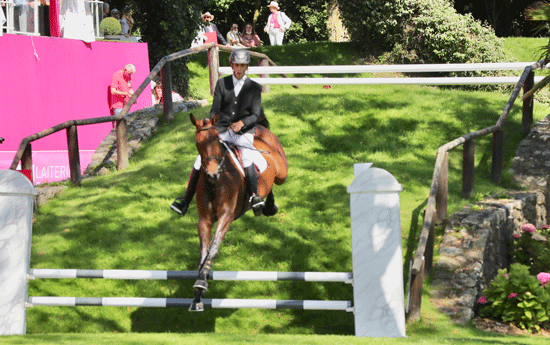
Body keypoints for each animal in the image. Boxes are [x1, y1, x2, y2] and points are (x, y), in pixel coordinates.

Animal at [189, 113, 286, 312]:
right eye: (197, 144)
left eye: (217, 141)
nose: (212, 174)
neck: (216, 183)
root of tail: (260, 127)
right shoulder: (204, 220)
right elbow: (204, 251)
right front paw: (198, 294)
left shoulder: (226, 216)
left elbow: (213, 246)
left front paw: (201, 282)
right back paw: (265, 205)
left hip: (282, 173)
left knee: (276, 181)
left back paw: (264, 204)